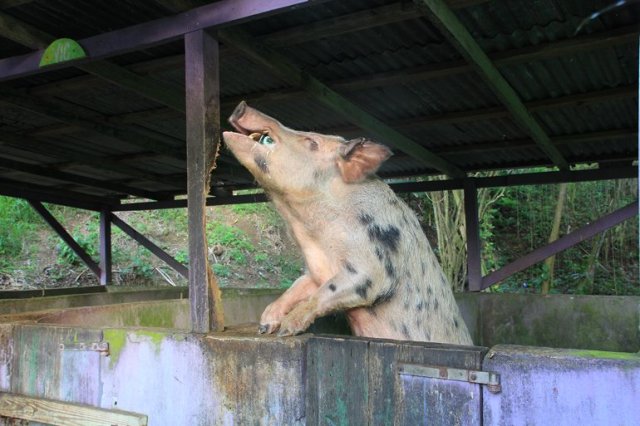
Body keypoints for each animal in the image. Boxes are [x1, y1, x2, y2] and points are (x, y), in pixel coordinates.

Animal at [222, 102, 473, 345]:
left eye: (312, 141)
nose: (242, 105)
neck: (313, 236)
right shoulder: (315, 271)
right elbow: (297, 286)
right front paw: (265, 325)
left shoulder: (373, 266)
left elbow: (331, 290)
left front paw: (286, 329)